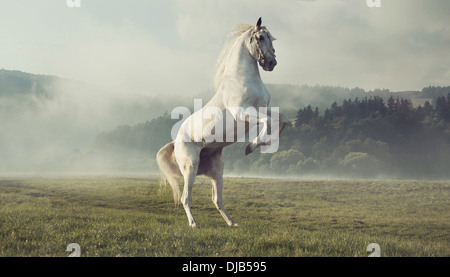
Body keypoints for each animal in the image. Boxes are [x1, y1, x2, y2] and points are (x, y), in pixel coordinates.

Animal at [155, 17, 288, 226]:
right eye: (260, 37)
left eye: (271, 39)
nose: (271, 63)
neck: (242, 79)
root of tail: (175, 141)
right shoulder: (244, 113)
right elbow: (267, 122)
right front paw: (252, 146)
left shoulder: (261, 109)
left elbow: (282, 119)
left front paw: (261, 144)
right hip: (190, 167)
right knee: (186, 197)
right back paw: (194, 224)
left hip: (217, 171)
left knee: (216, 199)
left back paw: (232, 223)